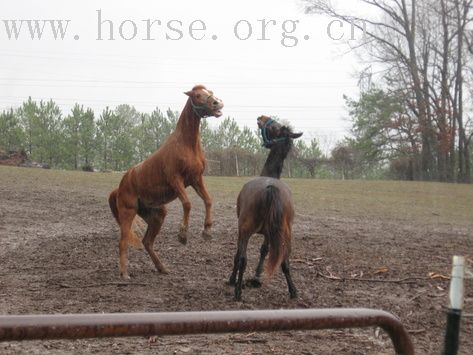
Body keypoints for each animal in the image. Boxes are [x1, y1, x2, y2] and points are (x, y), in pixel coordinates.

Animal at [109, 85, 223, 280]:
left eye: (210, 92)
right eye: (197, 95)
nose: (217, 103)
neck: (187, 145)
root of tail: (120, 187)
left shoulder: (196, 179)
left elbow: (208, 200)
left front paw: (207, 231)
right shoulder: (176, 180)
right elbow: (187, 204)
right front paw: (182, 235)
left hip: (157, 215)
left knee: (147, 242)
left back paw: (162, 267)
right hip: (128, 213)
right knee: (123, 242)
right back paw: (124, 273)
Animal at [229, 116, 302, 300]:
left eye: (275, 127)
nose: (261, 117)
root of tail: (271, 188)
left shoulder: (241, 230)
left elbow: (238, 255)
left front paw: (232, 279)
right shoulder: (270, 234)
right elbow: (264, 250)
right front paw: (257, 275)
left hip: (246, 229)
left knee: (242, 258)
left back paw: (238, 291)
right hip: (285, 232)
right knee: (285, 261)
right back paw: (293, 291)